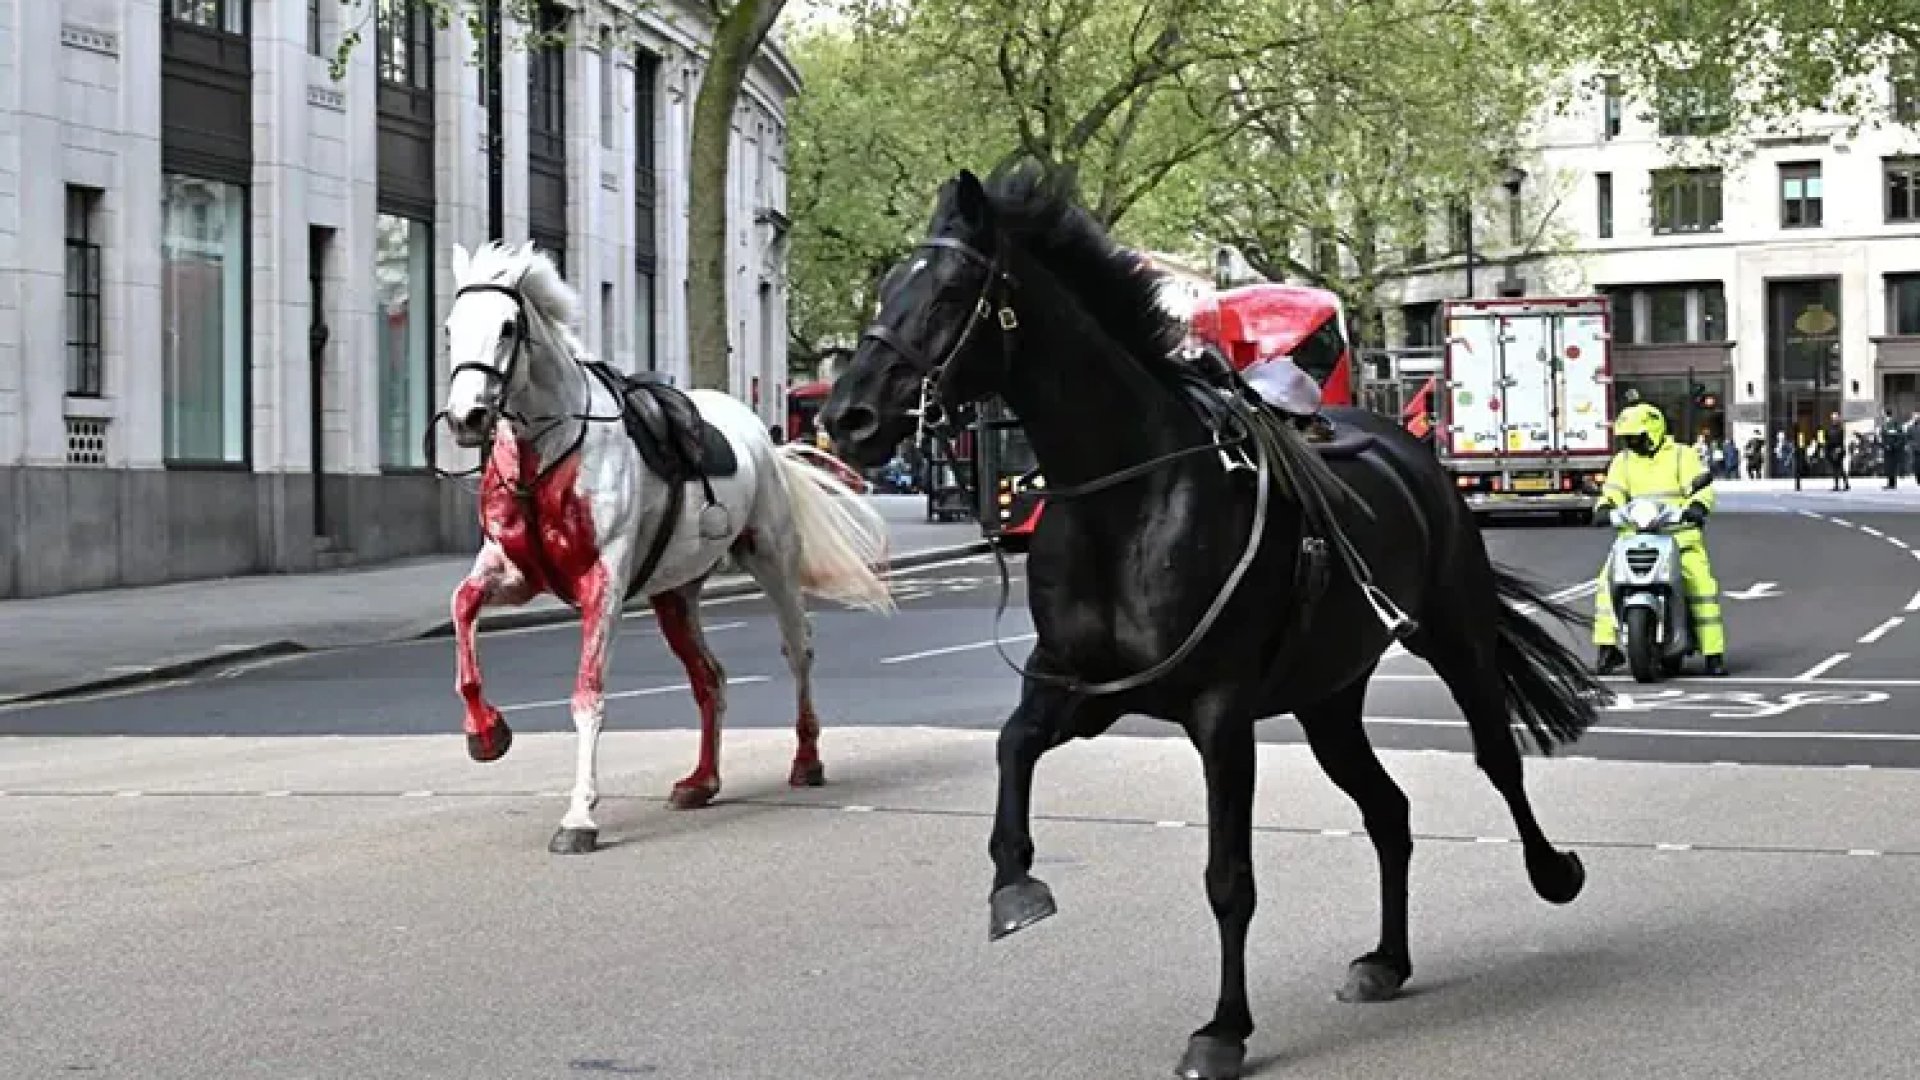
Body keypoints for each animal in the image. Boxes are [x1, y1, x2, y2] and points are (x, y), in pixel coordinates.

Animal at [437, 240, 895, 855]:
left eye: (508, 327)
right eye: (449, 327)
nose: (466, 418)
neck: (550, 452)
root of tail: (762, 435)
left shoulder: (602, 584)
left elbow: (588, 696)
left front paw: (579, 817)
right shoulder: (514, 573)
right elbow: (463, 608)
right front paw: (486, 733)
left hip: (773, 560)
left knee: (797, 650)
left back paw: (806, 760)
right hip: (675, 593)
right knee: (710, 677)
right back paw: (702, 781)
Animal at [818, 165, 1611, 1079]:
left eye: (949, 292)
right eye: (885, 287)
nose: (846, 418)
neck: (1125, 498)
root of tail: (1407, 444)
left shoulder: (1220, 713)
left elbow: (1229, 876)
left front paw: (1224, 1029)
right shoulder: (1081, 689)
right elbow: (1012, 746)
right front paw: (1014, 886)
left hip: (1455, 635)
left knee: (1495, 757)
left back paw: (1554, 872)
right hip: (1328, 697)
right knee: (1388, 810)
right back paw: (1387, 960)